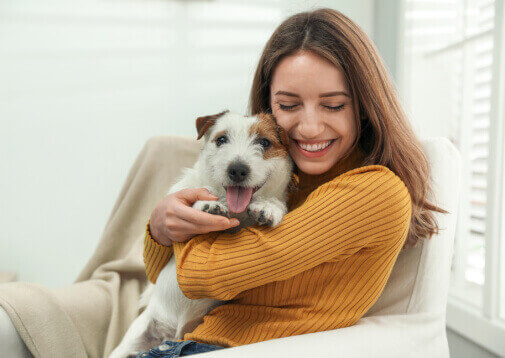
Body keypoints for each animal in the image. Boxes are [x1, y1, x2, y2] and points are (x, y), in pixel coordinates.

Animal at [108, 110, 294, 356]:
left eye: (264, 142)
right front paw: (208, 203)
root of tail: (171, 335)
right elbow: (198, 192)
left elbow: (275, 203)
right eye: (221, 139)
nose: (237, 169)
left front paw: (269, 207)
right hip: (134, 338)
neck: (237, 212)